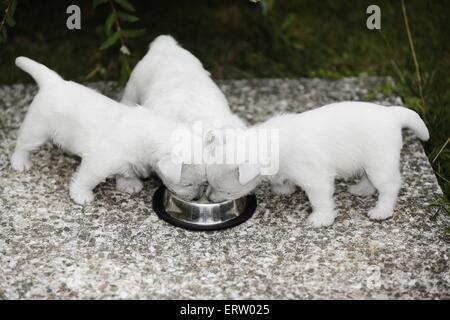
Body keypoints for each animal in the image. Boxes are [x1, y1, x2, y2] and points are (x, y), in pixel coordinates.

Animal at [11, 56, 206, 204]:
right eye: (188, 184)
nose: (197, 198)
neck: (149, 133)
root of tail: (53, 82)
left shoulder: (128, 161)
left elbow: (126, 170)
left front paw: (128, 183)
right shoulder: (97, 163)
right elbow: (86, 178)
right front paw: (81, 195)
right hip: (36, 130)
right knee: (22, 145)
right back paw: (20, 162)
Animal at [207, 102, 428, 228]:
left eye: (226, 192)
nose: (208, 199)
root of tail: (392, 114)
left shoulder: (316, 180)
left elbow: (320, 201)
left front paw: (321, 218)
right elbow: (282, 179)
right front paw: (283, 189)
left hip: (379, 164)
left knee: (390, 186)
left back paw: (382, 211)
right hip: (369, 163)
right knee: (369, 179)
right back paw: (362, 189)